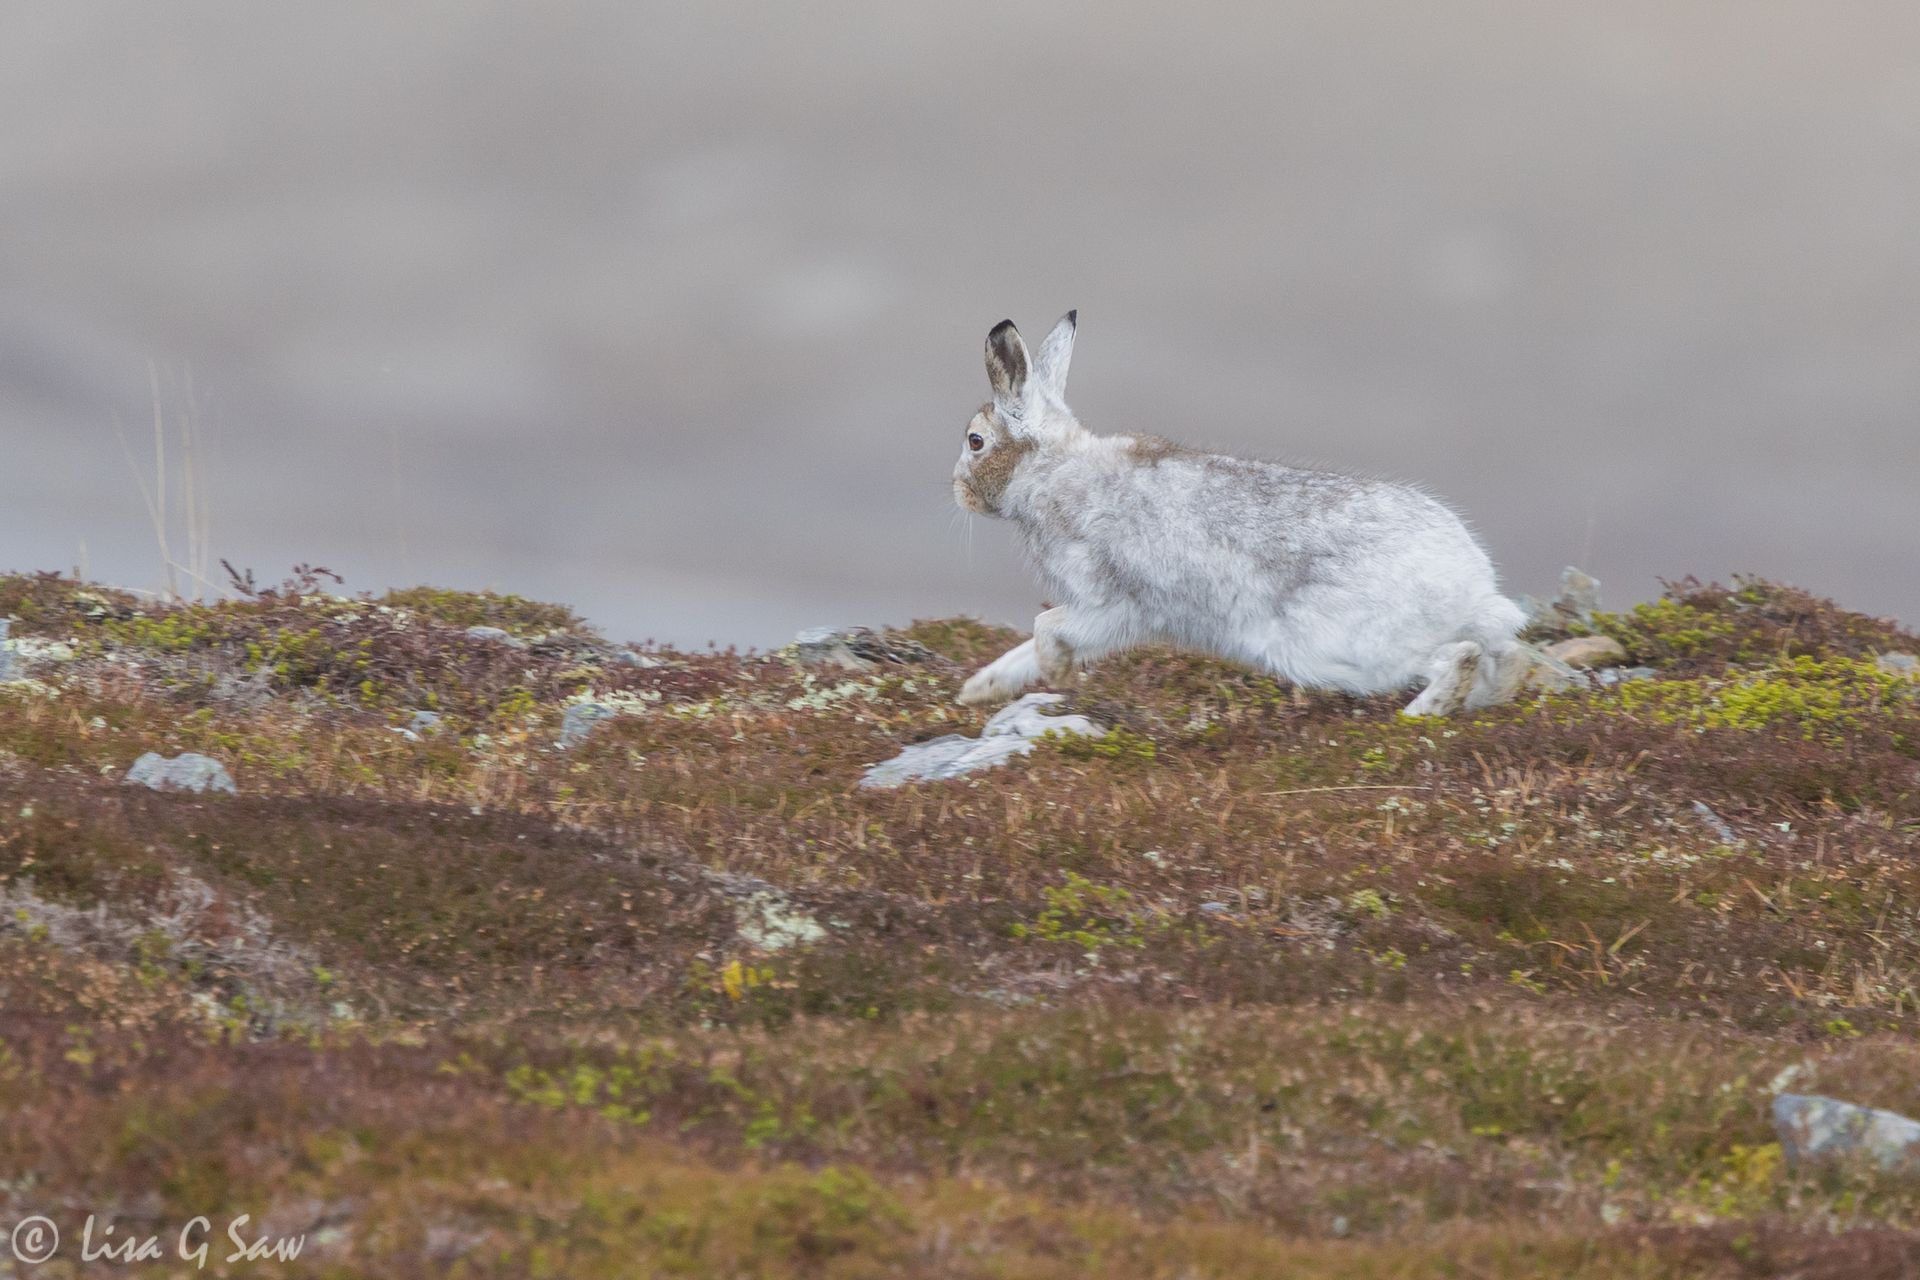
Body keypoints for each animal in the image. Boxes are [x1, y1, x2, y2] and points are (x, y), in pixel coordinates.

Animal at [951, 311, 1532, 717]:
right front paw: (977, 690)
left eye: (975, 442)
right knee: (1502, 663)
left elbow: (1045, 626)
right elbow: (1027, 644)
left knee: (1459, 657)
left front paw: (1060, 675)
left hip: (1351, 648)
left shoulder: (1113, 604)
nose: (957, 490)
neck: (1050, 469)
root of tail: (1474, 584)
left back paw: (1419, 715)